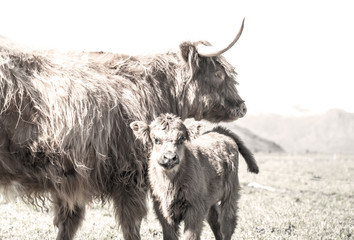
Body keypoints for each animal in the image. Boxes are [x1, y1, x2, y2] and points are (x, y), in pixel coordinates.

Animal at [0, 19, 246, 239]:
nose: (242, 106)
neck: (157, 89)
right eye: (219, 74)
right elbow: (131, 225)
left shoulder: (71, 181)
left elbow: (68, 224)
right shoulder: (129, 175)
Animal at [130, 113, 258, 240]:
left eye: (181, 138)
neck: (171, 183)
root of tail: (219, 131)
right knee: (215, 220)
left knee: (227, 222)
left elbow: (191, 236)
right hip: (210, 198)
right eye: (156, 140)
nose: (170, 157)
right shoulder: (163, 211)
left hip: (231, 191)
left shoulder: (195, 209)